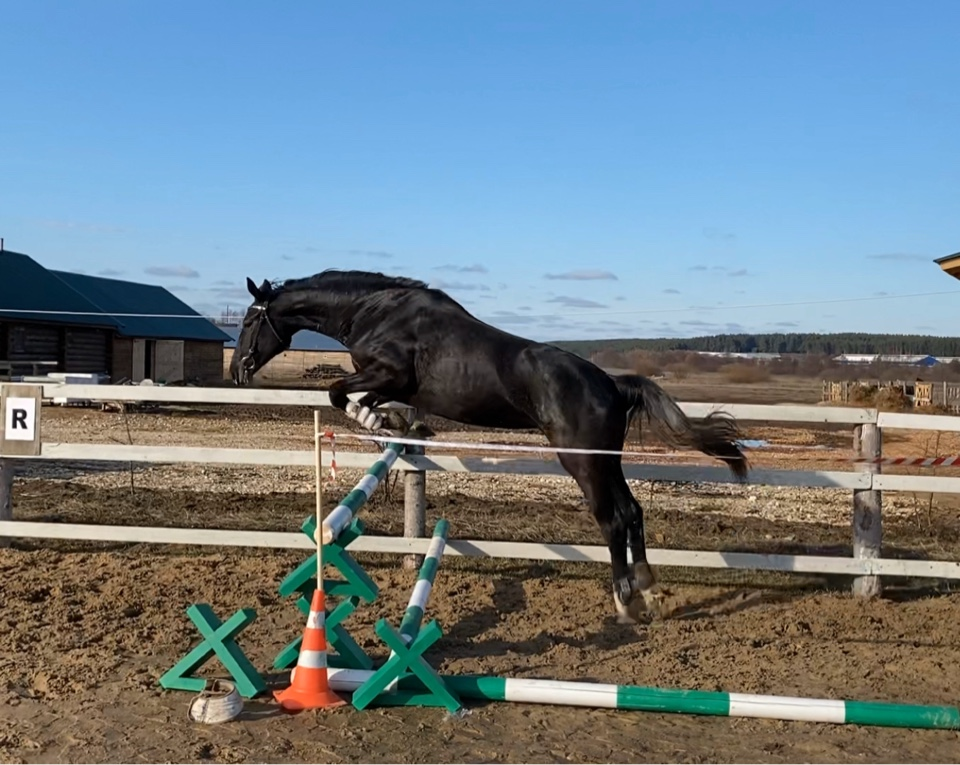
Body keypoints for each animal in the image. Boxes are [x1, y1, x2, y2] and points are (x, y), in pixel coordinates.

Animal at [232, 268, 752, 620]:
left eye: (248, 321)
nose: (237, 370)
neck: (376, 312)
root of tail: (611, 383)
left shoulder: (389, 374)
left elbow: (337, 391)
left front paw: (374, 419)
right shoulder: (390, 383)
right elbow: (351, 395)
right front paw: (385, 421)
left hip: (581, 460)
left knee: (612, 518)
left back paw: (624, 599)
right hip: (608, 461)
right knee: (632, 512)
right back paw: (648, 589)